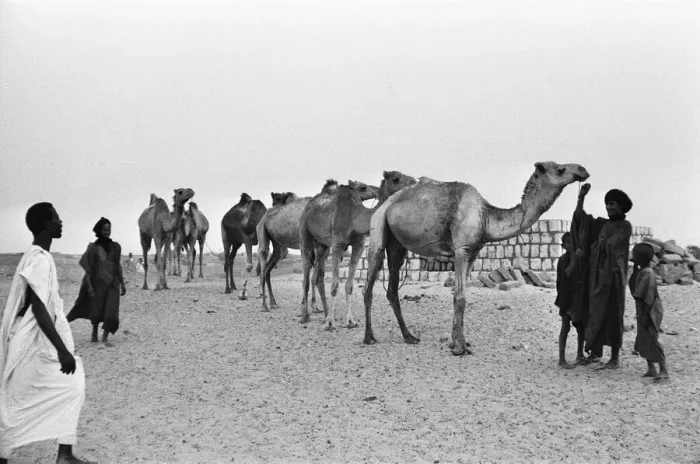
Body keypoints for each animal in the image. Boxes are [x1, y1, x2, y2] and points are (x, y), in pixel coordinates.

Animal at [257, 180, 341, 311]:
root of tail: (264, 217)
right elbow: (309, 277)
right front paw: (307, 306)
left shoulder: (321, 249)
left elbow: (314, 277)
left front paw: (315, 306)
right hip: (262, 230)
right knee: (263, 257)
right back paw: (264, 304)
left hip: (279, 246)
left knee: (268, 268)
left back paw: (273, 302)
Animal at [299, 171, 417, 329]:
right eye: (396, 178)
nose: (414, 182)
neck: (354, 218)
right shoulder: (337, 245)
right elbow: (335, 285)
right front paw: (330, 323)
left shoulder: (358, 246)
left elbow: (349, 285)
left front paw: (350, 321)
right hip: (304, 233)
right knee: (306, 276)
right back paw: (305, 316)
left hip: (322, 245)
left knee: (319, 278)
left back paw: (325, 314)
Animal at [363, 162, 590, 356]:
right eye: (560, 169)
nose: (583, 170)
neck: (486, 217)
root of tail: (386, 203)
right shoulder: (461, 250)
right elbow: (461, 297)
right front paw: (460, 348)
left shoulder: (473, 253)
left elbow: (459, 295)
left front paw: (455, 342)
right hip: (378, 225)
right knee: (370, 279)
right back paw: (369, 337)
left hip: (397, 245)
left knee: (392, 288)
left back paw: (409, 336)